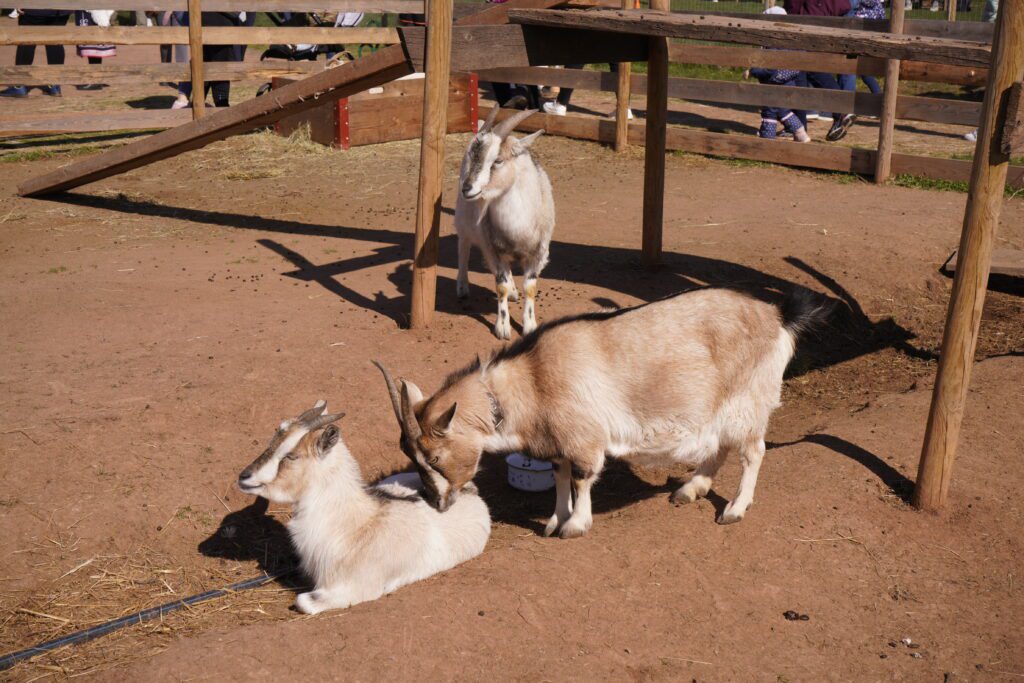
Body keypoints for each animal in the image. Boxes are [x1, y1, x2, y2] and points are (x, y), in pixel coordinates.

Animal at [237, 400, 490, 614]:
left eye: (291, 456)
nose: (244, 477)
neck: (356, 526)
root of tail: (469, 490)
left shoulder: (352, 590)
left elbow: (303, 602)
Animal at [376, 289, 831, 538]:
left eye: (435, 456)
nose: (437, 502)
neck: (532, 378)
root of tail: (777, 316)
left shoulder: (583, 438)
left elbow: (581, 478)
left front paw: (575, 526)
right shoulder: (557, 442)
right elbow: (560, 477)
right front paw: (553, 520)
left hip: (747, 402)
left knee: (753, 452)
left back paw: (734, 509)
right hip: (716, 408)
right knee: (718, 447)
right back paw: (689, 490)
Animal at [455, 107, 555, 340]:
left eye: (498, 160)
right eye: (472, 157)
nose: (467, 189)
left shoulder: (538, 254)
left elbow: (530, 287)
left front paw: (530, 325)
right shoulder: (493, 250)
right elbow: (499, 285)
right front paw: (502, 328)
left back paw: (513, 292)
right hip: (464, 221)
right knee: (463, 249)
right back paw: (462, 287)